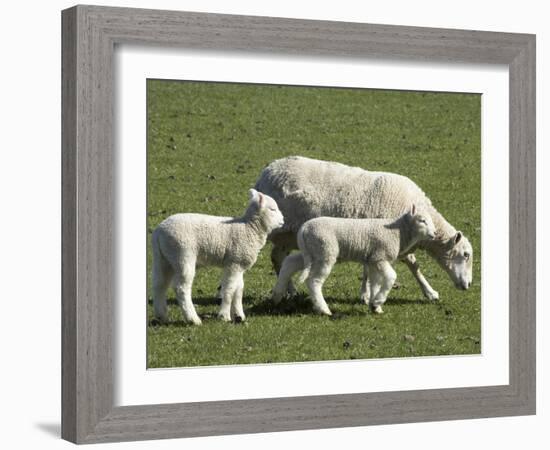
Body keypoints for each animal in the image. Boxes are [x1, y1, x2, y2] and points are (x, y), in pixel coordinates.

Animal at [153, 188, 286, 326]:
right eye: (272, 209)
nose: (283, 220)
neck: (249, 228)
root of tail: (159, 231)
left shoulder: (238, 263)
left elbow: (239, 290)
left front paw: (239, 315)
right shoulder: (234, 263)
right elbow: (229, 289)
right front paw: (224, 316)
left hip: (163, 258)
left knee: (159, 284)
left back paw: (161, 316)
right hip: (182, 254)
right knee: (181, 288)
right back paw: (193, 319)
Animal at [254, 156, 474, 302]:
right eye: (466, 255)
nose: (469, 285)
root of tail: (268, 171)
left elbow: (380, 266)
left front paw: (366, 294)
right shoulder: (385, 237)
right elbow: (412, 265)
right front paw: (430, 292)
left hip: (288, 235)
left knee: (278, 257)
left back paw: (289, 290)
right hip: (279, 229)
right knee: (275, 256)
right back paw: (288, 290)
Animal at [274, 206, 438, 314]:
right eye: (422, 220)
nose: (435, 233)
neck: (399, 232)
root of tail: (304, 229)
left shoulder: (373, 260)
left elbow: (375, 283)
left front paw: (375, 306)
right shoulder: (380, 256)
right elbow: (391, 277)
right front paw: (378, 300)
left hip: (311, 252)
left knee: (289, 263)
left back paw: (277, 294)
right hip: (325, 251)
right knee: (313, 281)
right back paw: (324, 309)